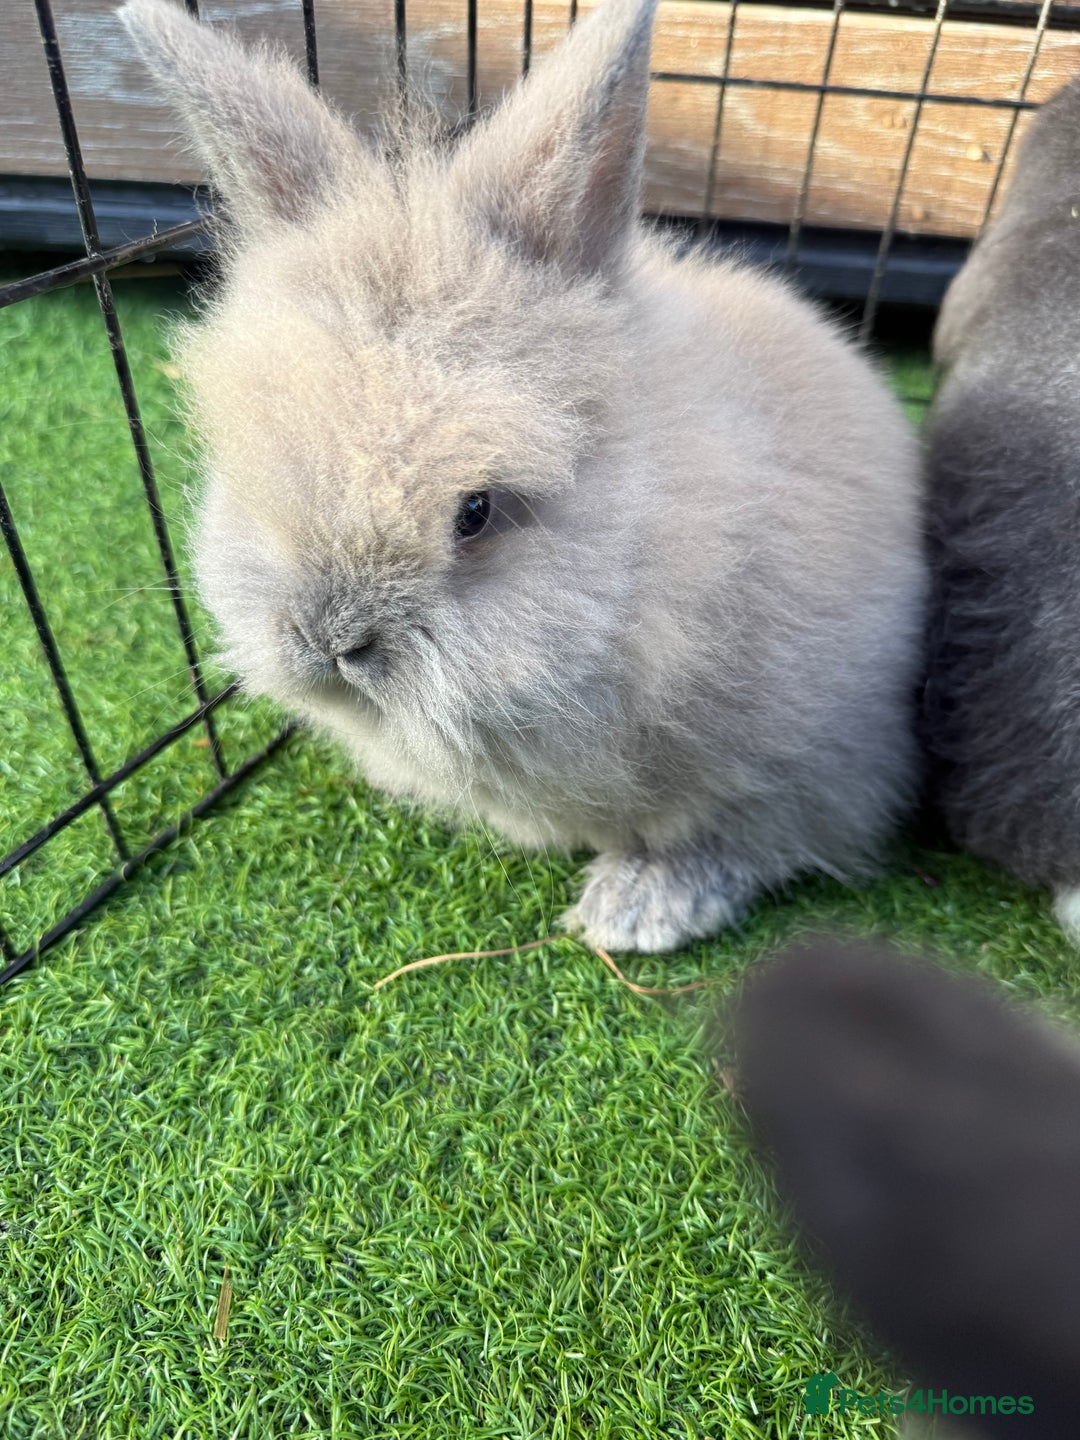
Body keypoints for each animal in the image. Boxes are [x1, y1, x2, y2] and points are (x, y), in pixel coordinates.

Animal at [118, 0, 925, 954]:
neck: (662, 548)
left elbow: (753, 832)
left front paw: (637, 909)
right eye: (252, 474)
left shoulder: (807, 754)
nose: (331, 643)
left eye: (475, 511)